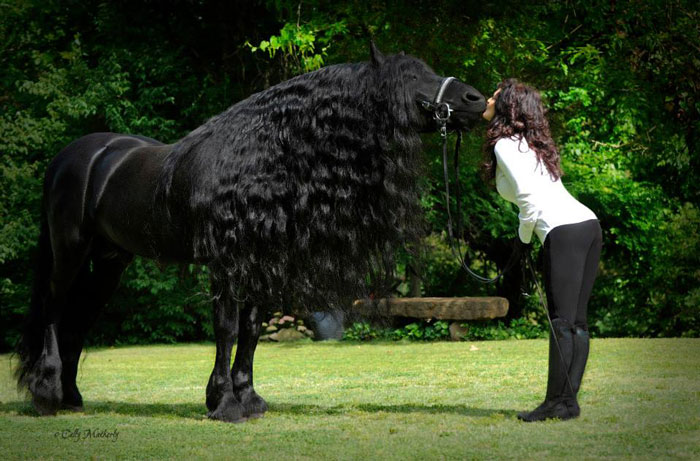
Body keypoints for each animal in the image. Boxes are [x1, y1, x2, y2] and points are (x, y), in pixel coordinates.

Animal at [16, 42, 486, 423]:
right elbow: (226, 329)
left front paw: (249, 399)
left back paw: (71, 398)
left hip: (110, 262)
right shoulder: (224, 264)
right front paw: (223, 403)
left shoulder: (259, 262)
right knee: (54, 312)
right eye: (410, 78)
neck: (259, 159)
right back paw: (46, 395)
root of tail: (71, 157)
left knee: (78, 321)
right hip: (70, 253)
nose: (475, 99)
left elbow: (253, 330)